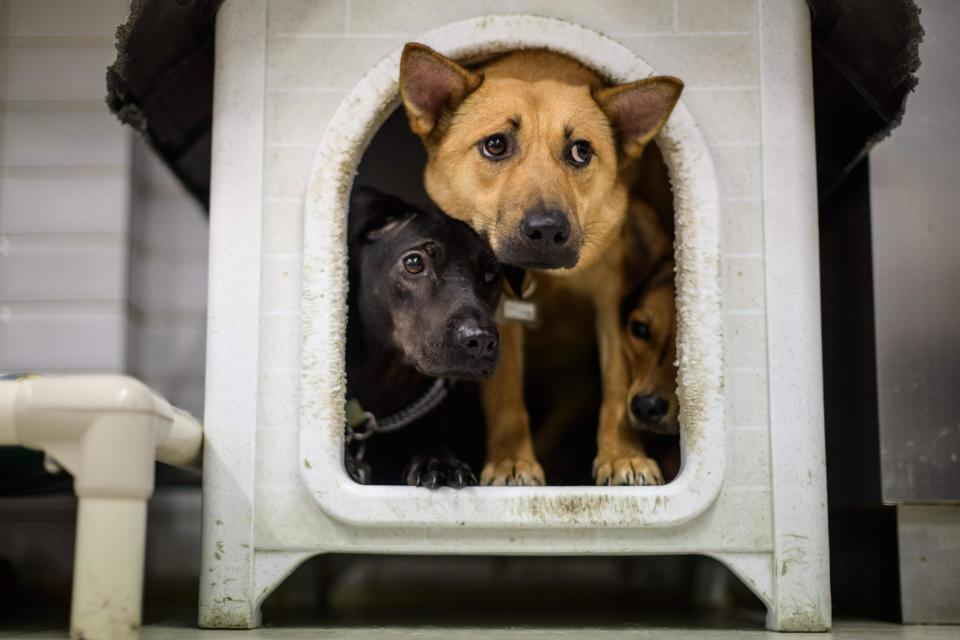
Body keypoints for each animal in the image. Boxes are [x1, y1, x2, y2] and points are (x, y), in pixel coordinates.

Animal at [398, 45, 684, 484]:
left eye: (581, 151)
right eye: (496, 145)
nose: (547, 230)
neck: (545, 279)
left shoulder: (610, 302)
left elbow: (617, 385)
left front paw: (623, 457)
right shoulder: (496, 317)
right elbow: (506, 396)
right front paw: (511, 462)